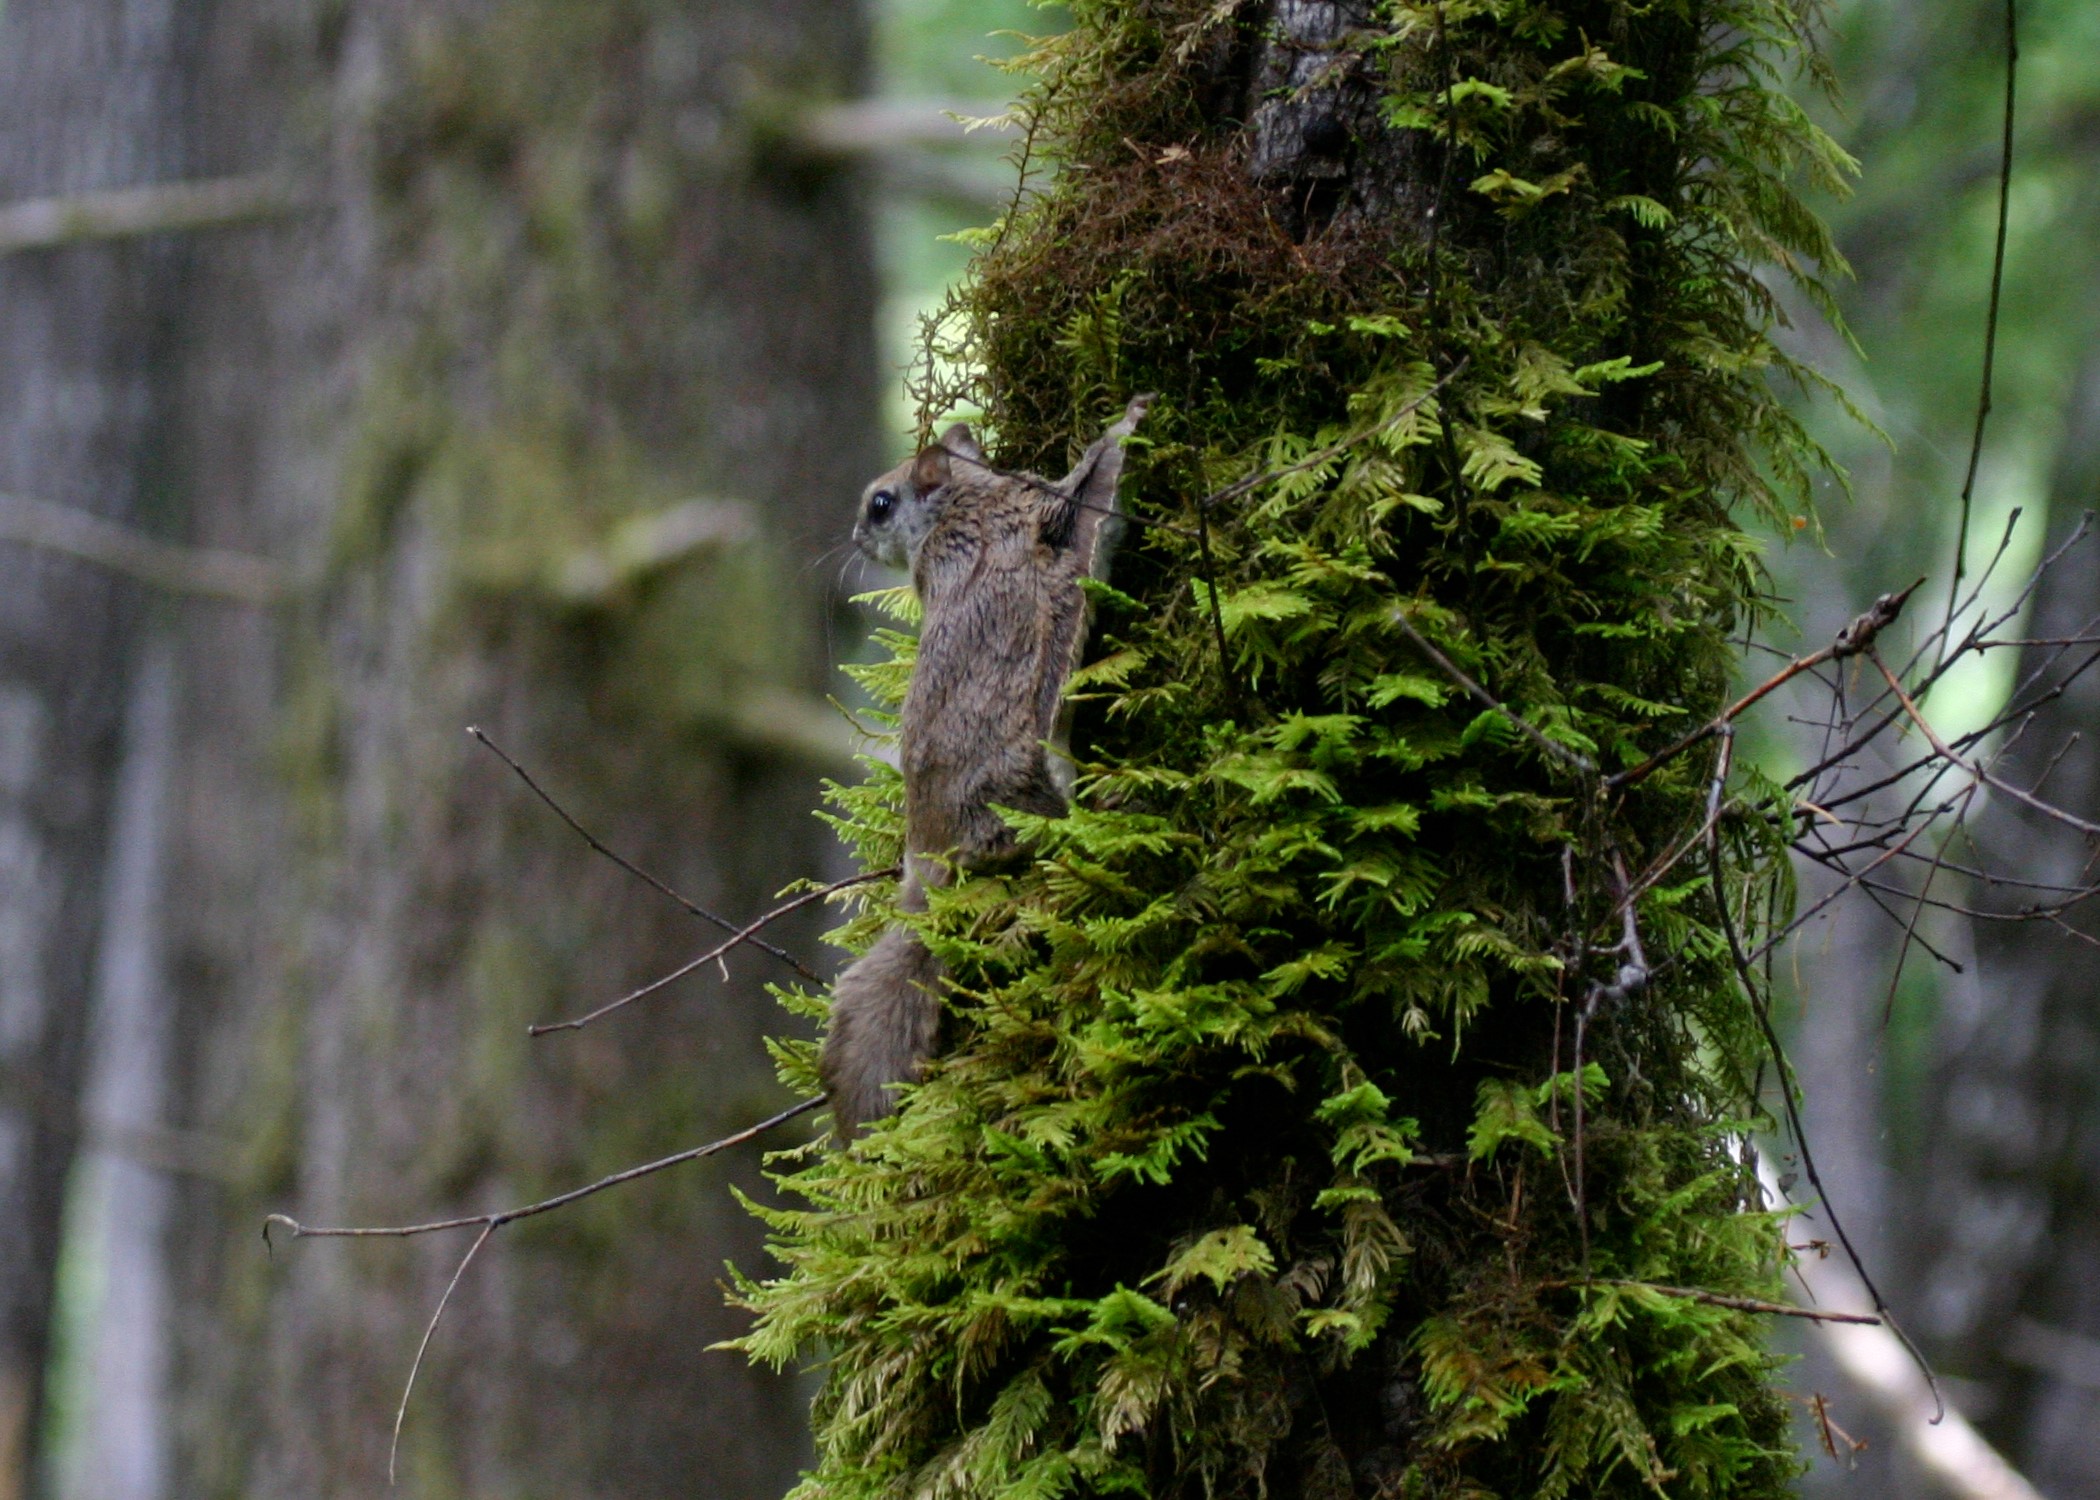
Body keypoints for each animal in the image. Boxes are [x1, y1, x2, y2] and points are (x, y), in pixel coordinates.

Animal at [820, 396, 1152, 1136]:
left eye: (880, 504)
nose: (855, 538)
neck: (966, 503)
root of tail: (929, 861)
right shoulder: (1045, 515)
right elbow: (1090, 485)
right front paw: (1128, 424)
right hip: (1019, 792)